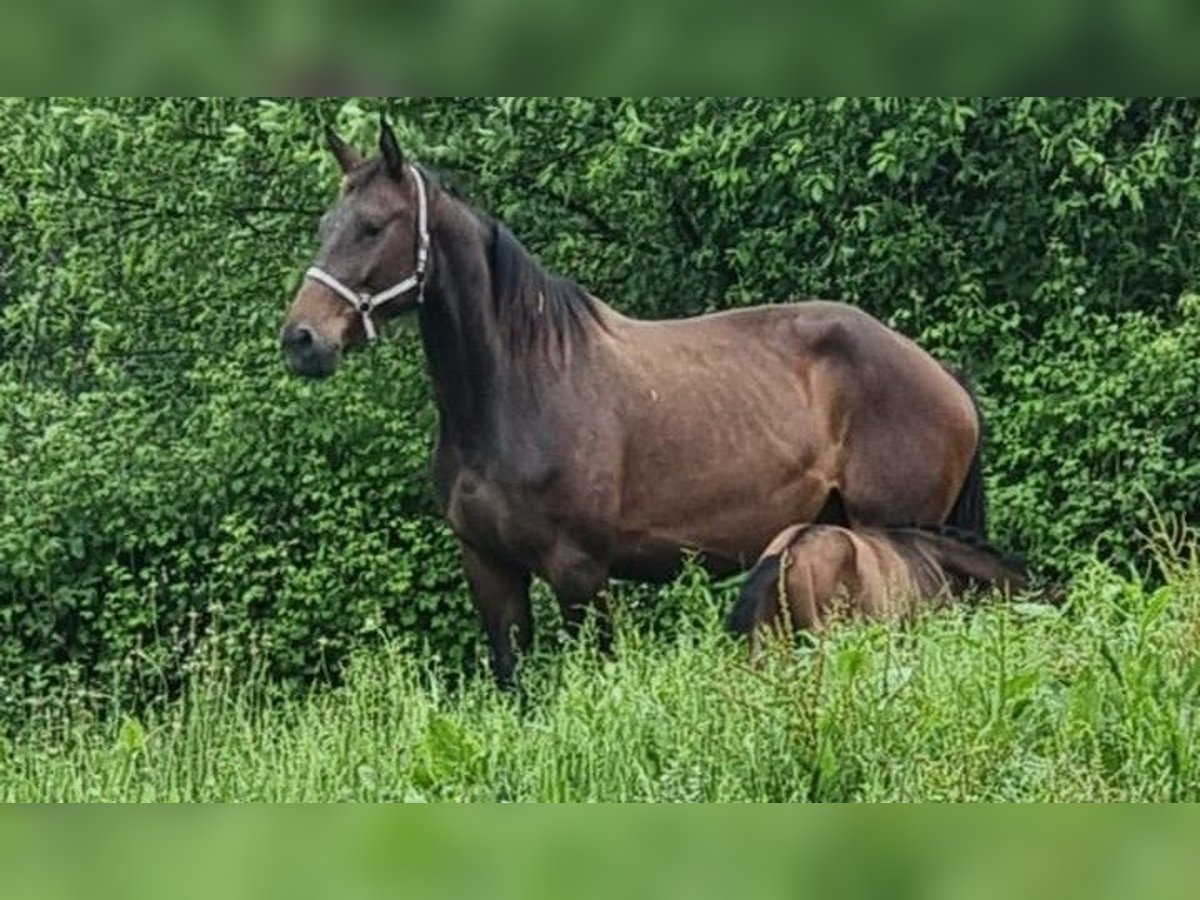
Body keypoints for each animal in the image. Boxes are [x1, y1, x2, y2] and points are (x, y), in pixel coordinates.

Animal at [280, 123, 984, 691]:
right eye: (323, 227)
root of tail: (944, 379)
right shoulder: (491, 569)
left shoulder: (579, 573)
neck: (519, 391)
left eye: (373, 226)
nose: (301, 340)